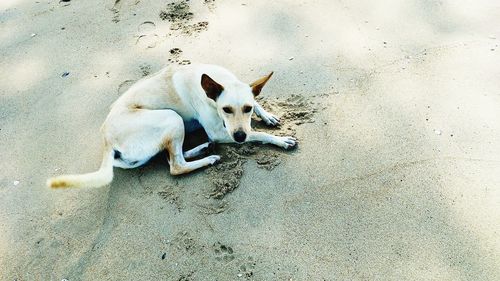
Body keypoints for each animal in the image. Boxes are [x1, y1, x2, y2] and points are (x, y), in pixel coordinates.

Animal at [47, 63, 296, 188]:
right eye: (226, 109)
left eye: (247, 108)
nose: (240, 138)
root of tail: (107, 142)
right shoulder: (219, 132)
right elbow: (258, 134)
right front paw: (280, 140)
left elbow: (258, 104)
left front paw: (268, 115)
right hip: (171, 117)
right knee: (176, 166)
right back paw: (209, 158)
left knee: (173, 156)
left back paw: (202, 149)